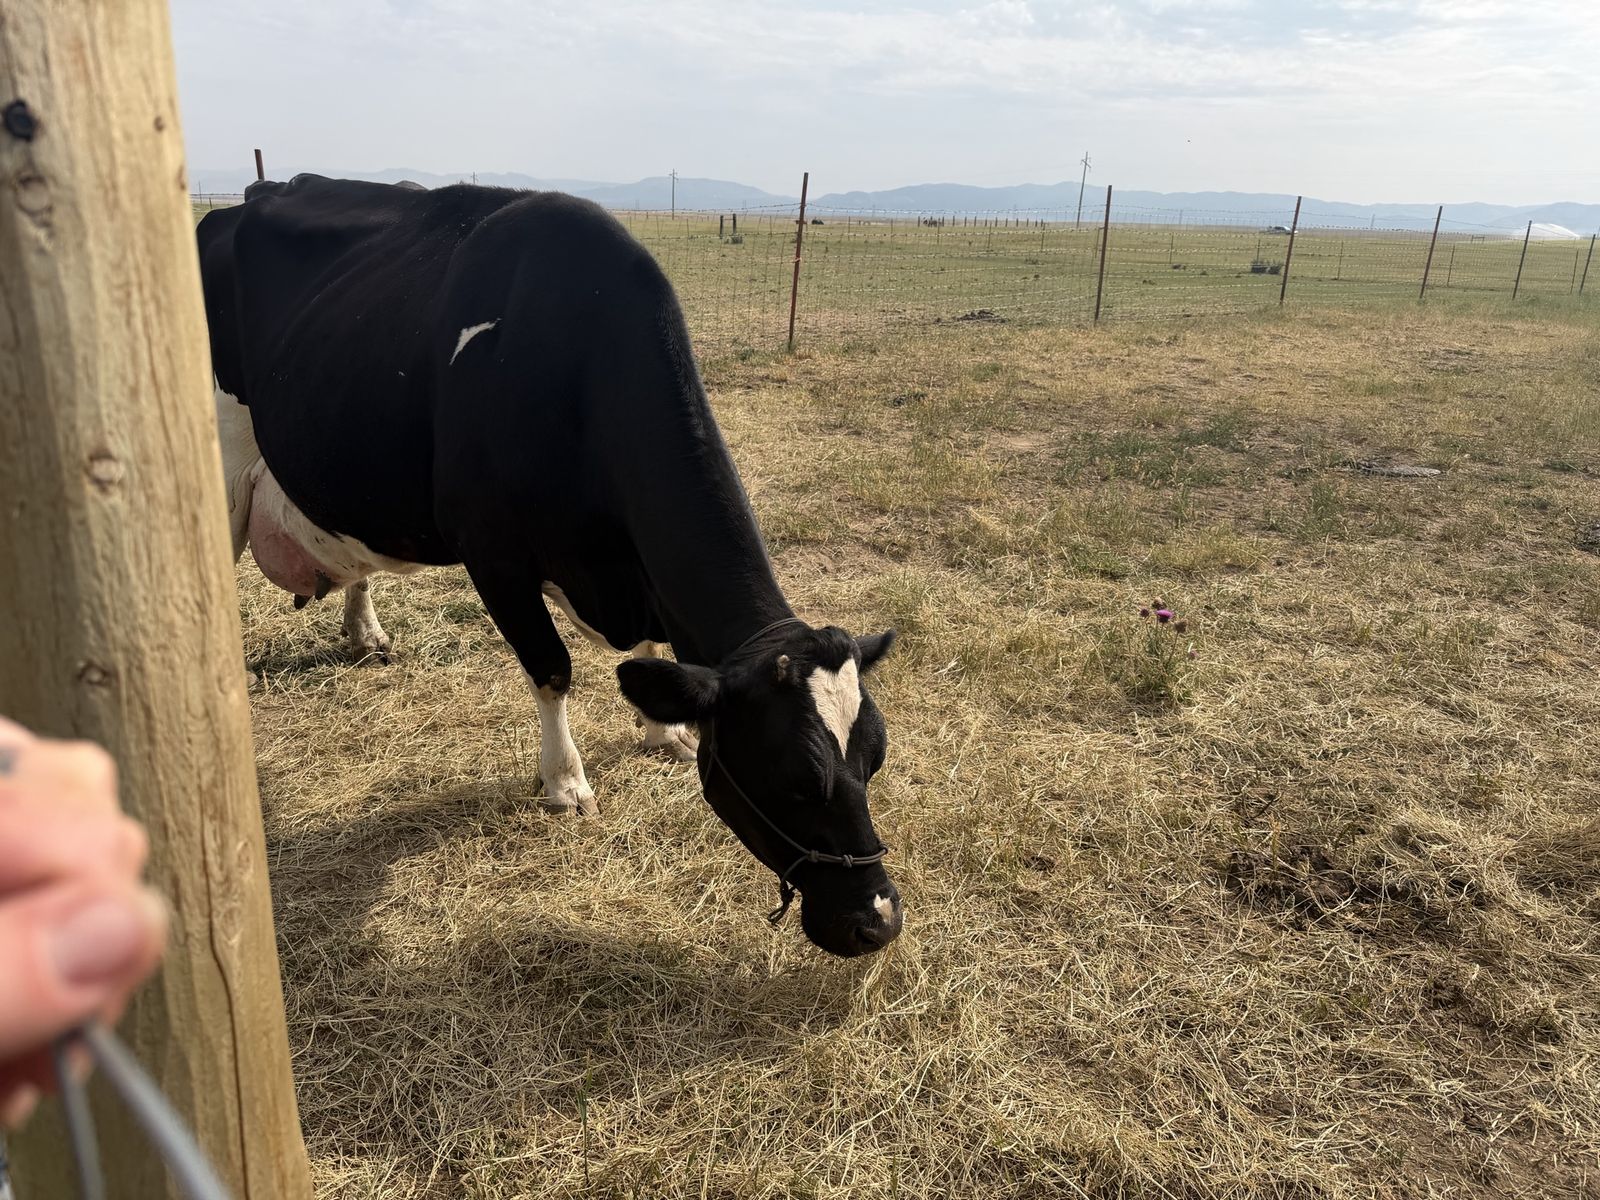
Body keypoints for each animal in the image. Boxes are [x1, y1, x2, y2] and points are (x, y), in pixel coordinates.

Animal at [197, 175, 902, 956]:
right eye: (793, 777)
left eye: (874, 758)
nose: (878, 919)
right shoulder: (494, 554)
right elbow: (552, 670)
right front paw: (566, 785)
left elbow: (649, 659)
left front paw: (664, 734)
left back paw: (366, 633)